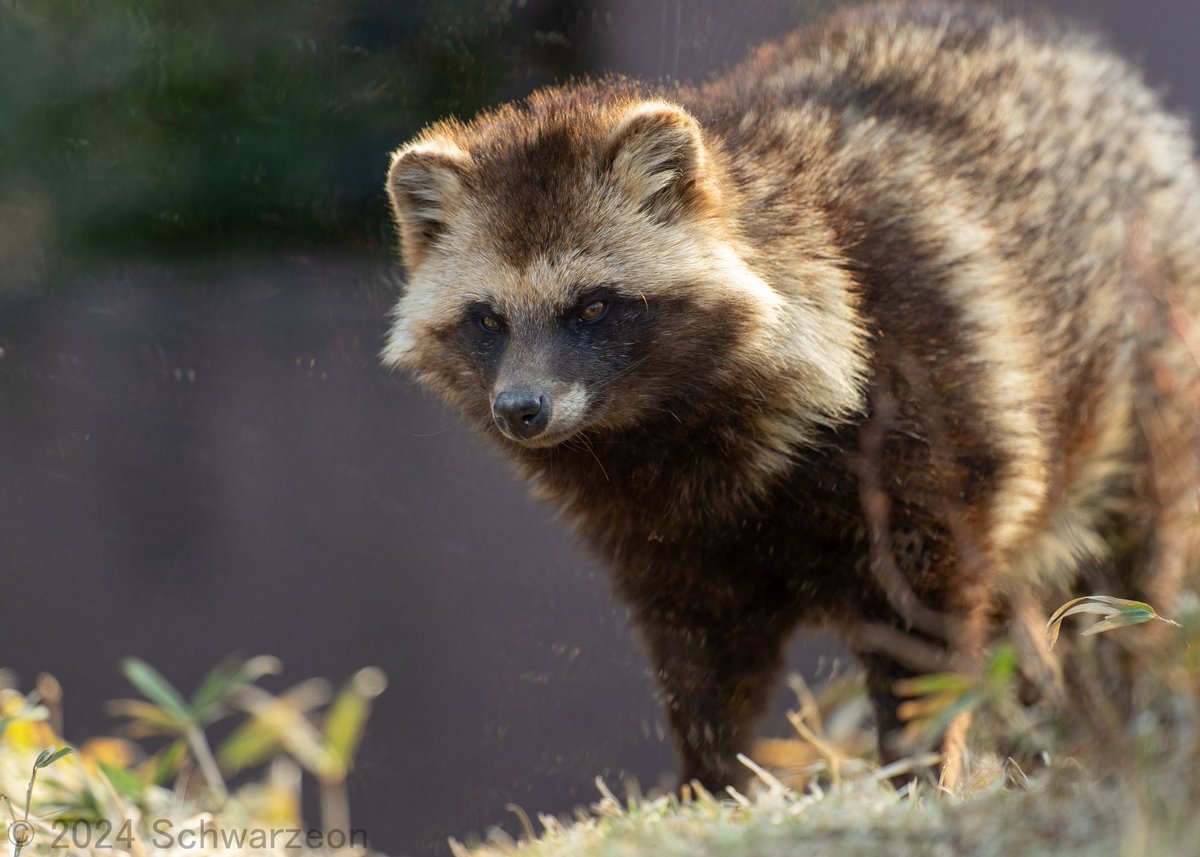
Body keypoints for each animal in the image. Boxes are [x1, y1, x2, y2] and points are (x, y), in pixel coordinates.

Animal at [381, 1, 1200, 787]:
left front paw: (918, 768)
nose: (521, 410)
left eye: (592, 306)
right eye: (487, 319)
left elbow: (925, 630)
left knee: (1128, 562)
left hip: (1149, 365)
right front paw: (709, 782)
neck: (671, 432)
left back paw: (1124, 705)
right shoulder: (666, 535)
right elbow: (701, 661)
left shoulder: (932, 407)